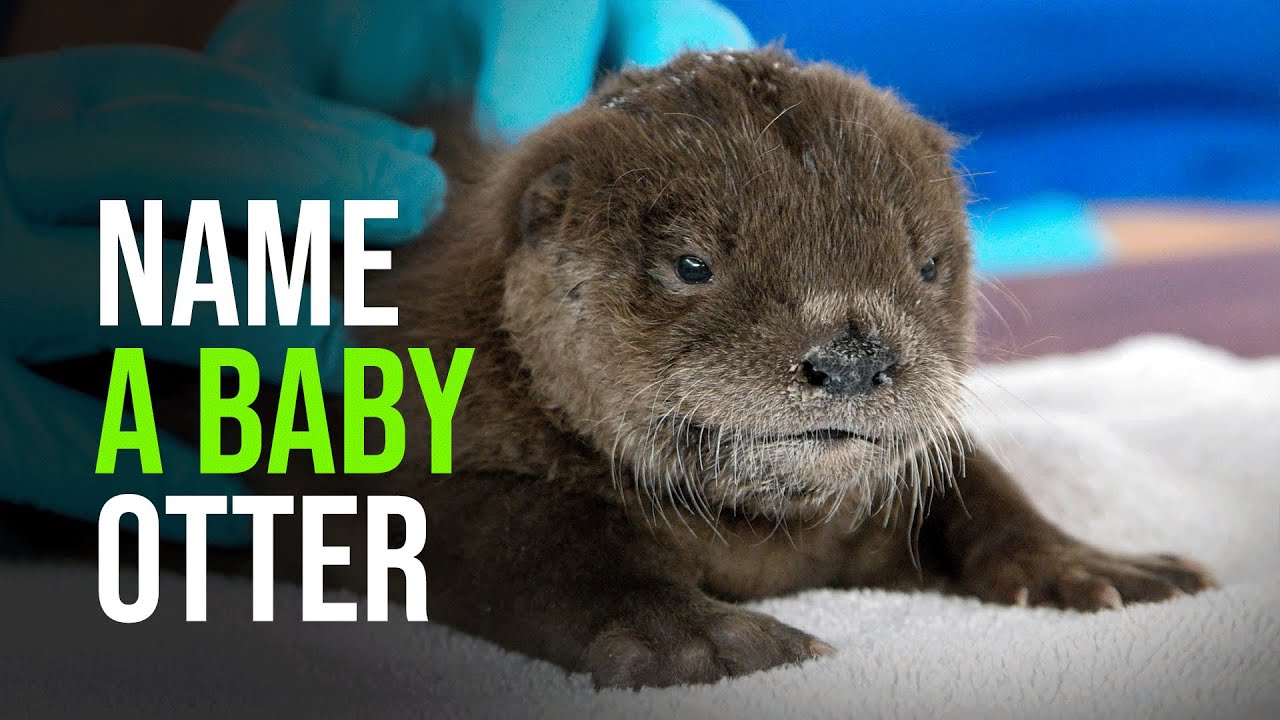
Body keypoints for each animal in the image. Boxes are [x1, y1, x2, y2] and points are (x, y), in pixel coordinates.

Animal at [255, 47, 1216, 689]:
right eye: (692, 265)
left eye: (926, 264)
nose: (853, 356)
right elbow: (538, 540)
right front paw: (707, 640)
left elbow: (980, 487)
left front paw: (1101, 566)